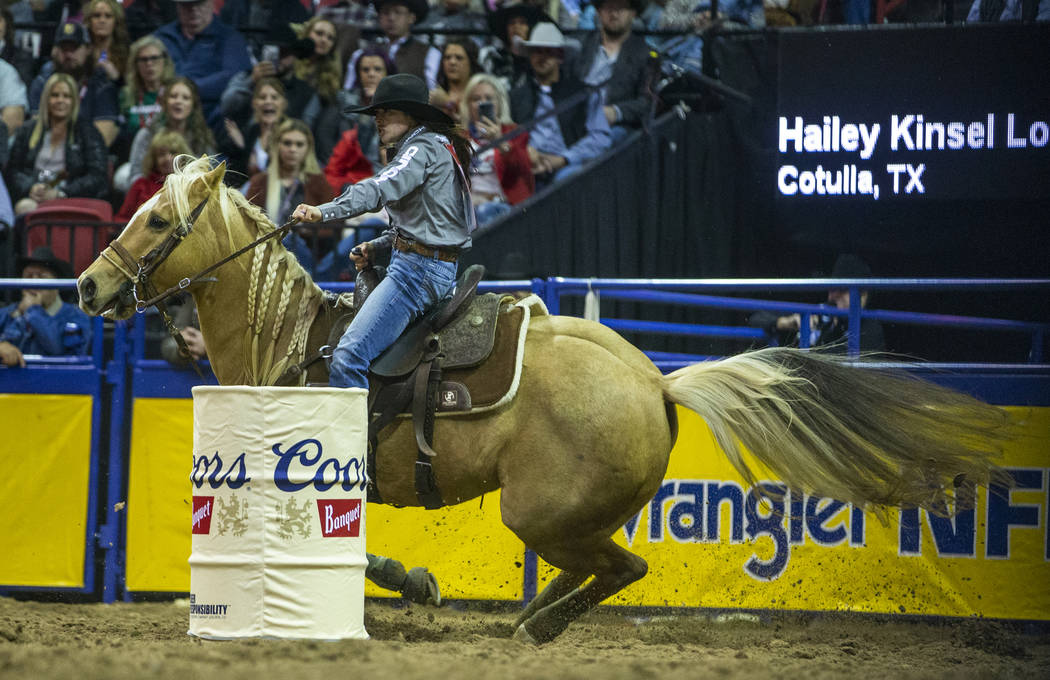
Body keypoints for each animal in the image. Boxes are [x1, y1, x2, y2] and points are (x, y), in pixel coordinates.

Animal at [77, 159, 1012, 642]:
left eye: (155, 221)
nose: (88, 285)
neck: (290, 338)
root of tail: (657, 381)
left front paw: (415, 582)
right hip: (572, 514)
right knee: (600, 567)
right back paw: (527, 618)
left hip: (538, 510)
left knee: (620, 569)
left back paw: (531, 626)